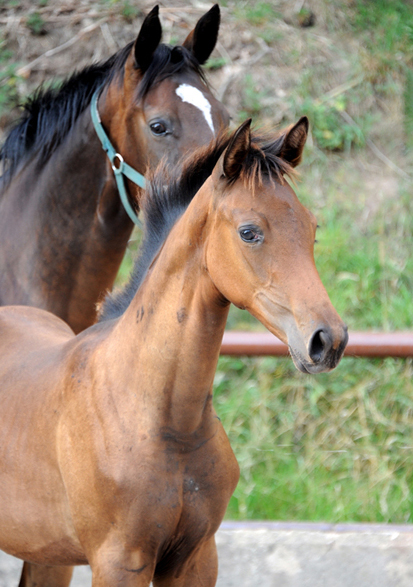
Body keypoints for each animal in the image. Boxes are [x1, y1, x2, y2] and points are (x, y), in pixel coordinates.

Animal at [0, 116, 346, 587]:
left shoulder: (196, 558)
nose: (328, 340)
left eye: (312, 230)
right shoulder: (118, 562)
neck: (163, 419)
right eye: (249, 232)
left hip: (48, 553)